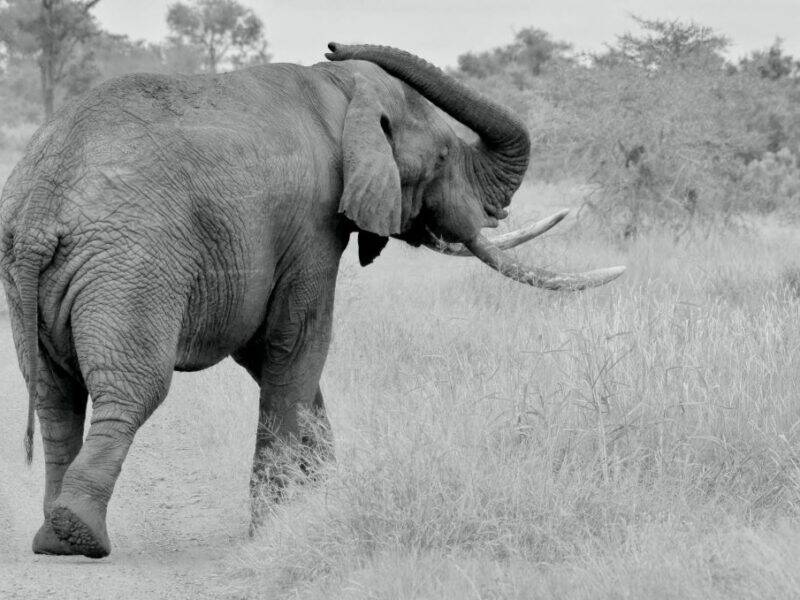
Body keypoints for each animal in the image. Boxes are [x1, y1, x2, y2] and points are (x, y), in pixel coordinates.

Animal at [0, 42, 624, 559]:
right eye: (445, 158)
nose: (333, 43)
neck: (341, 89)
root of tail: (40, 212)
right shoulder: (312, 221)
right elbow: (297, 342)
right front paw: (275, 528)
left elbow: (274, 357)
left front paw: (322, 499)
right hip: (132, 265)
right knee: (131, 389)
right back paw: (81, 536)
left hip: (34, 275)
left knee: (55, 395)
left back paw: (52, 538)